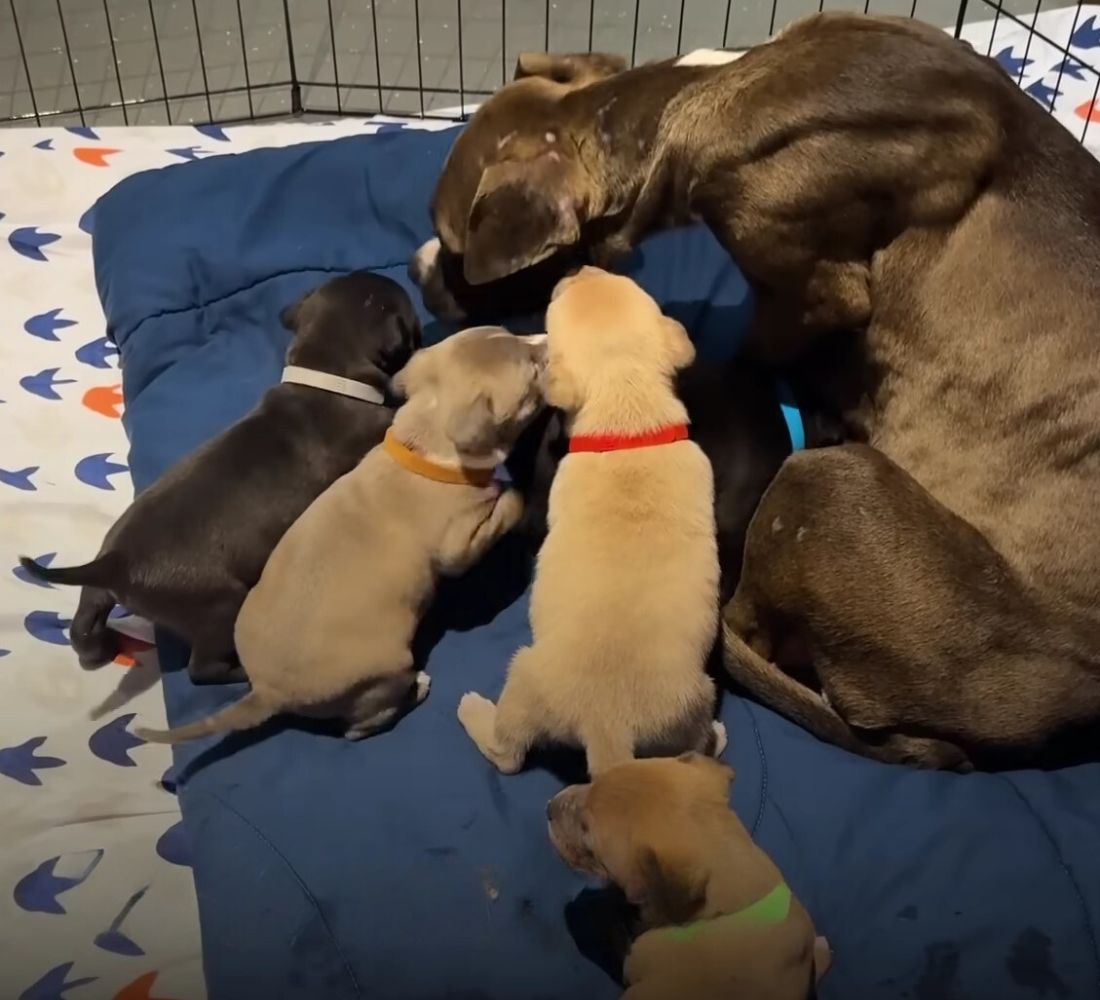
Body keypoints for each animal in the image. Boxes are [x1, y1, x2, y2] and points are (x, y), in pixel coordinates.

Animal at [17, 269, 420, 682]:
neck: (327, 373)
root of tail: (113, 564)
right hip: (221, 604)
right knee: (202, 668)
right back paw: (240, 672)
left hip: (100, 592)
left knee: (83, 626)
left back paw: (98, 648)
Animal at [139, 327, 547, 739]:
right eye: (533, 371)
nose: (546, 336)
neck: (426, 447)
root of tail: (268, 692)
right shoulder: (458, 547)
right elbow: (500, 512)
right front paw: (513, 495)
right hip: (384, 672)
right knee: (362, 726)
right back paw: (414, 689)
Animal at [459, 265, 726, 774]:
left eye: (555, 302)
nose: (578, 267)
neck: (628, 408)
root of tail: (608, 728)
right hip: (694, 701)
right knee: (691, 745)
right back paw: (715, 741)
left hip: (524, 676)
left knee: (508, 754)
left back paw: (473, 710)